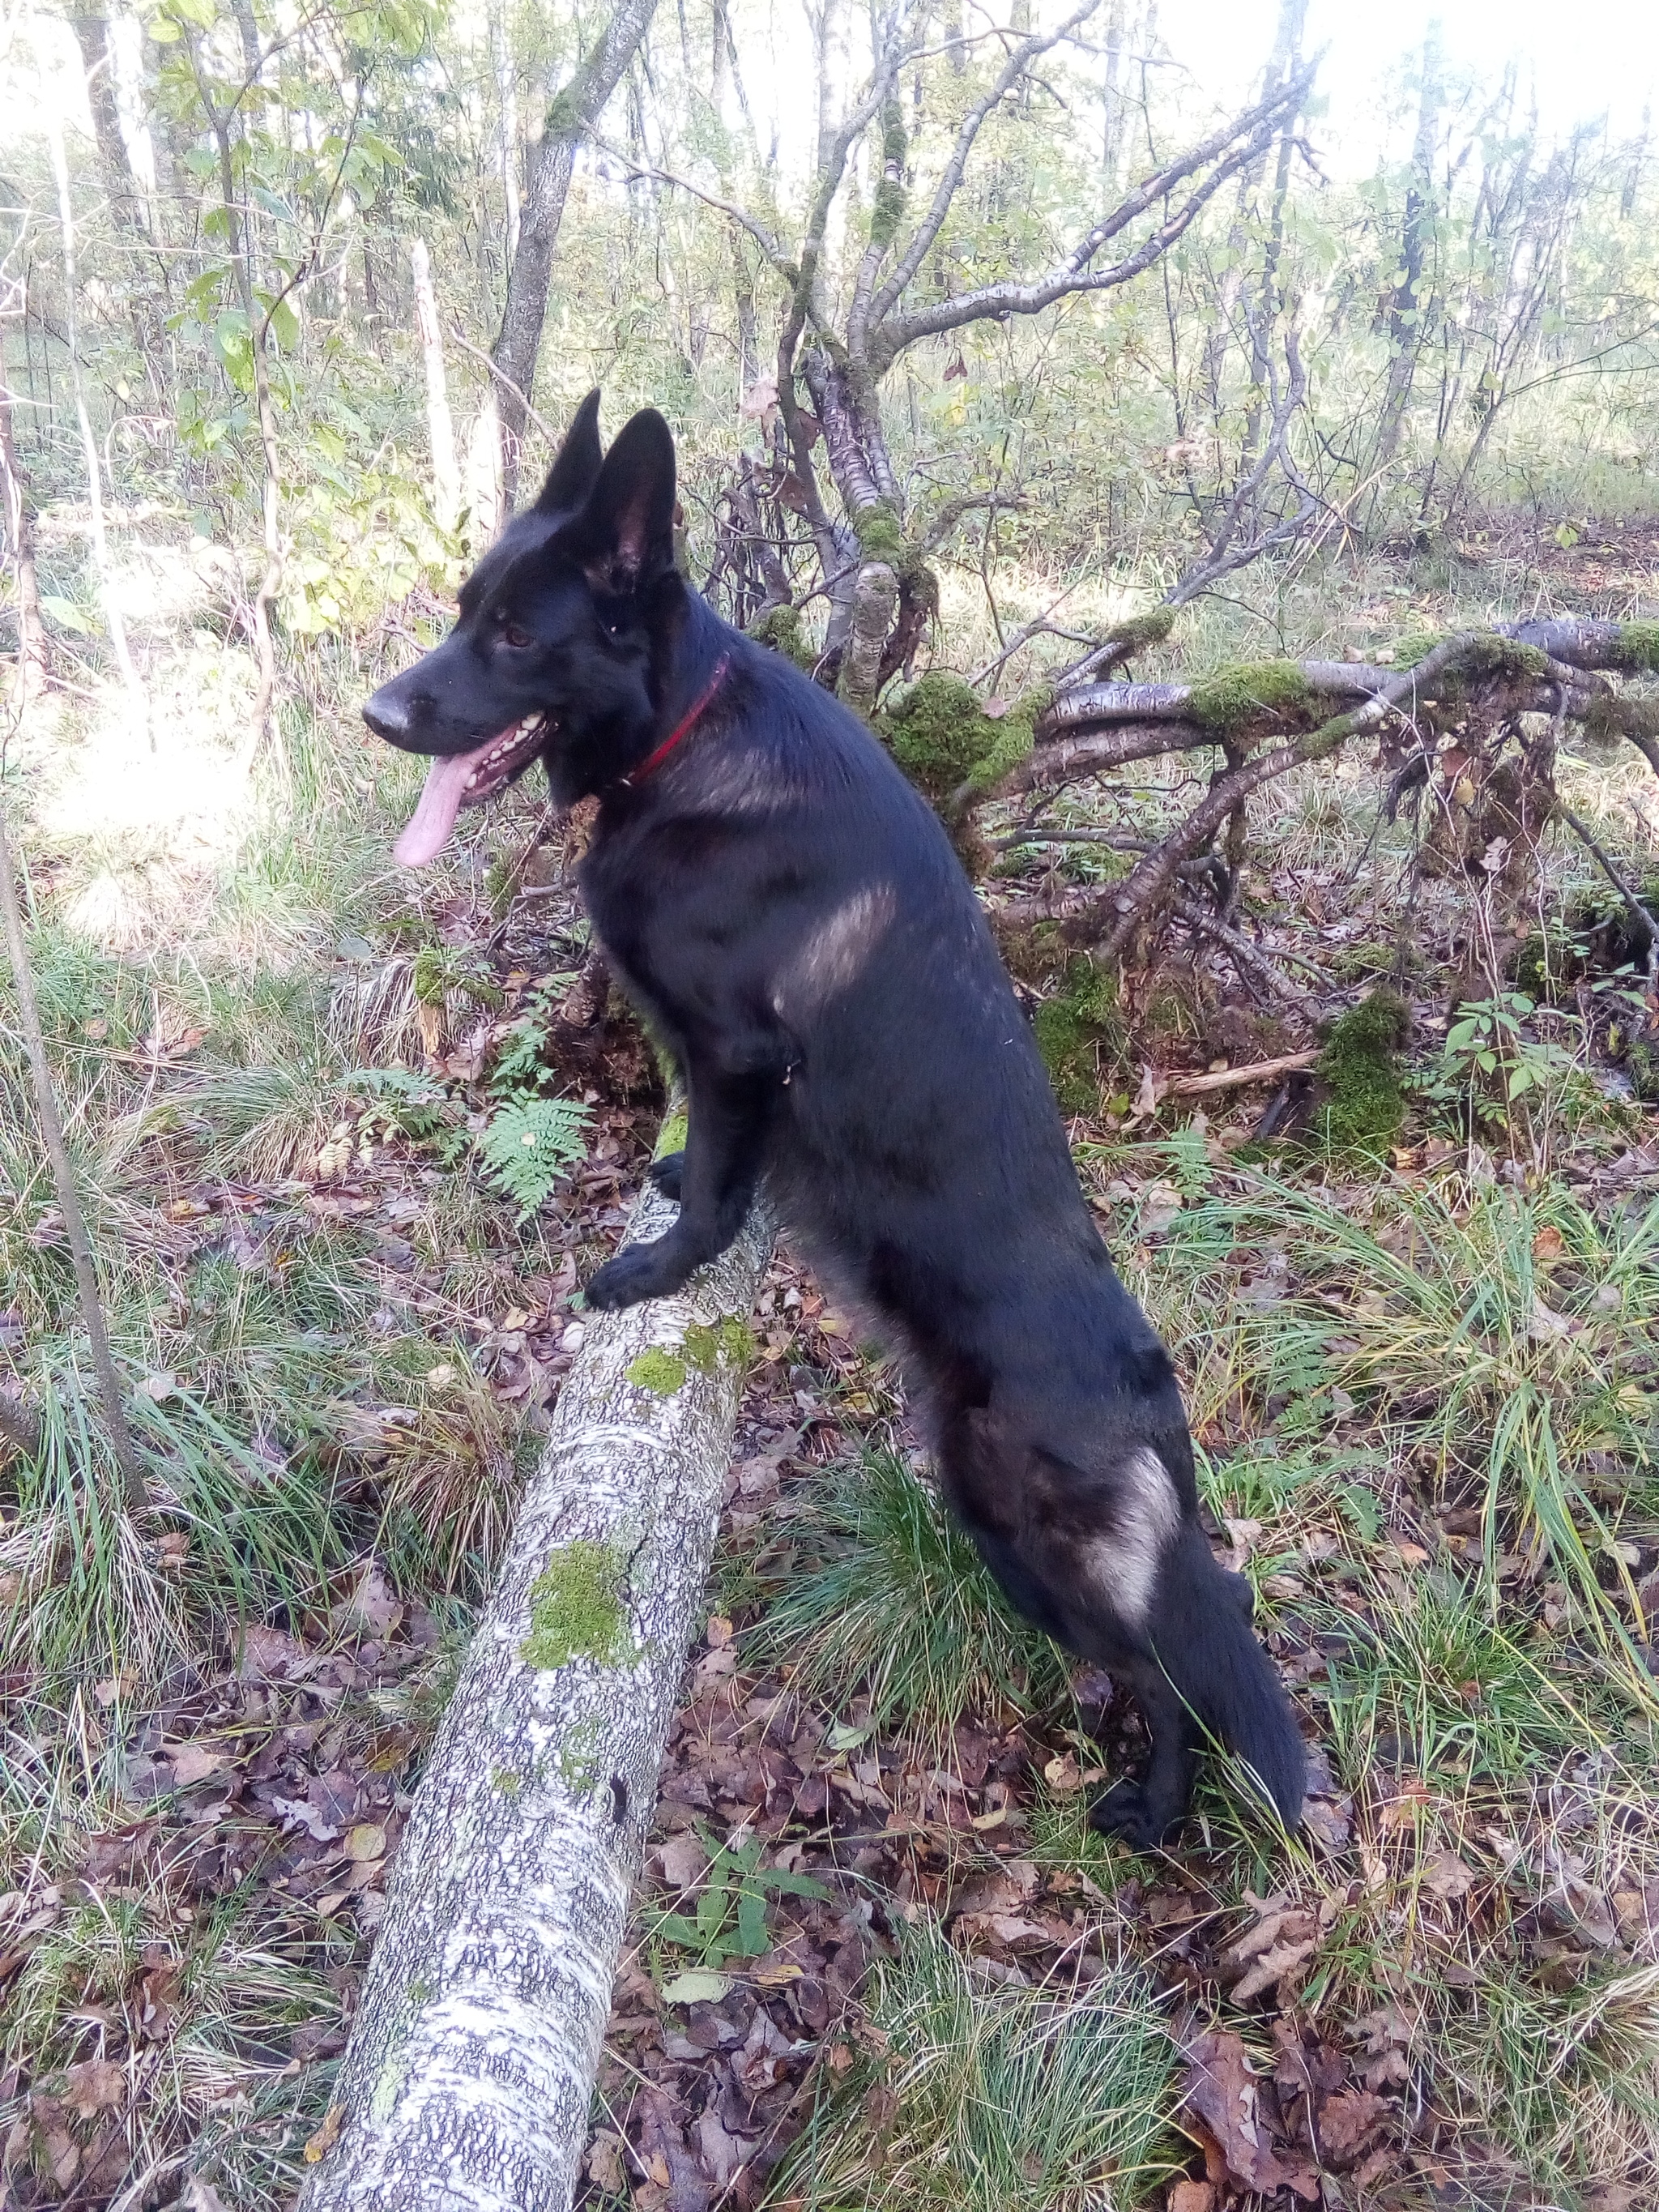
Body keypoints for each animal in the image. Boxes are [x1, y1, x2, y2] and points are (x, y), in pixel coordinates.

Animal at [367, 398, 1309, 1849]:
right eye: (469, 610)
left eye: (519, 634)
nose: (377, 712)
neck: (685, 736)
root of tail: (1158, 1409)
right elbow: (705, 1156)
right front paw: (666, 1177)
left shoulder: (741, 1052)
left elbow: (716, 1188)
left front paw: (656, 1267)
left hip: (1019, 1525)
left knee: (1173, 1667)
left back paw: (1158, 1804)